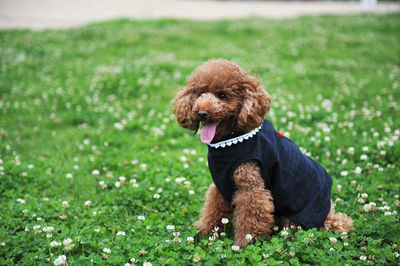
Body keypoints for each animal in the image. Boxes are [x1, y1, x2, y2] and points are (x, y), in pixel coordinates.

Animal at [170, 58, 352, 247]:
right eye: (200, 93)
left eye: (223, 96)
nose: (202, 113)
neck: (230, 139)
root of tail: (328, 213)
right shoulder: (220, 186)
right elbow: (213, 211)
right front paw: (203, 234)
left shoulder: (251, 187)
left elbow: (251, 216)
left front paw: (244, 244)